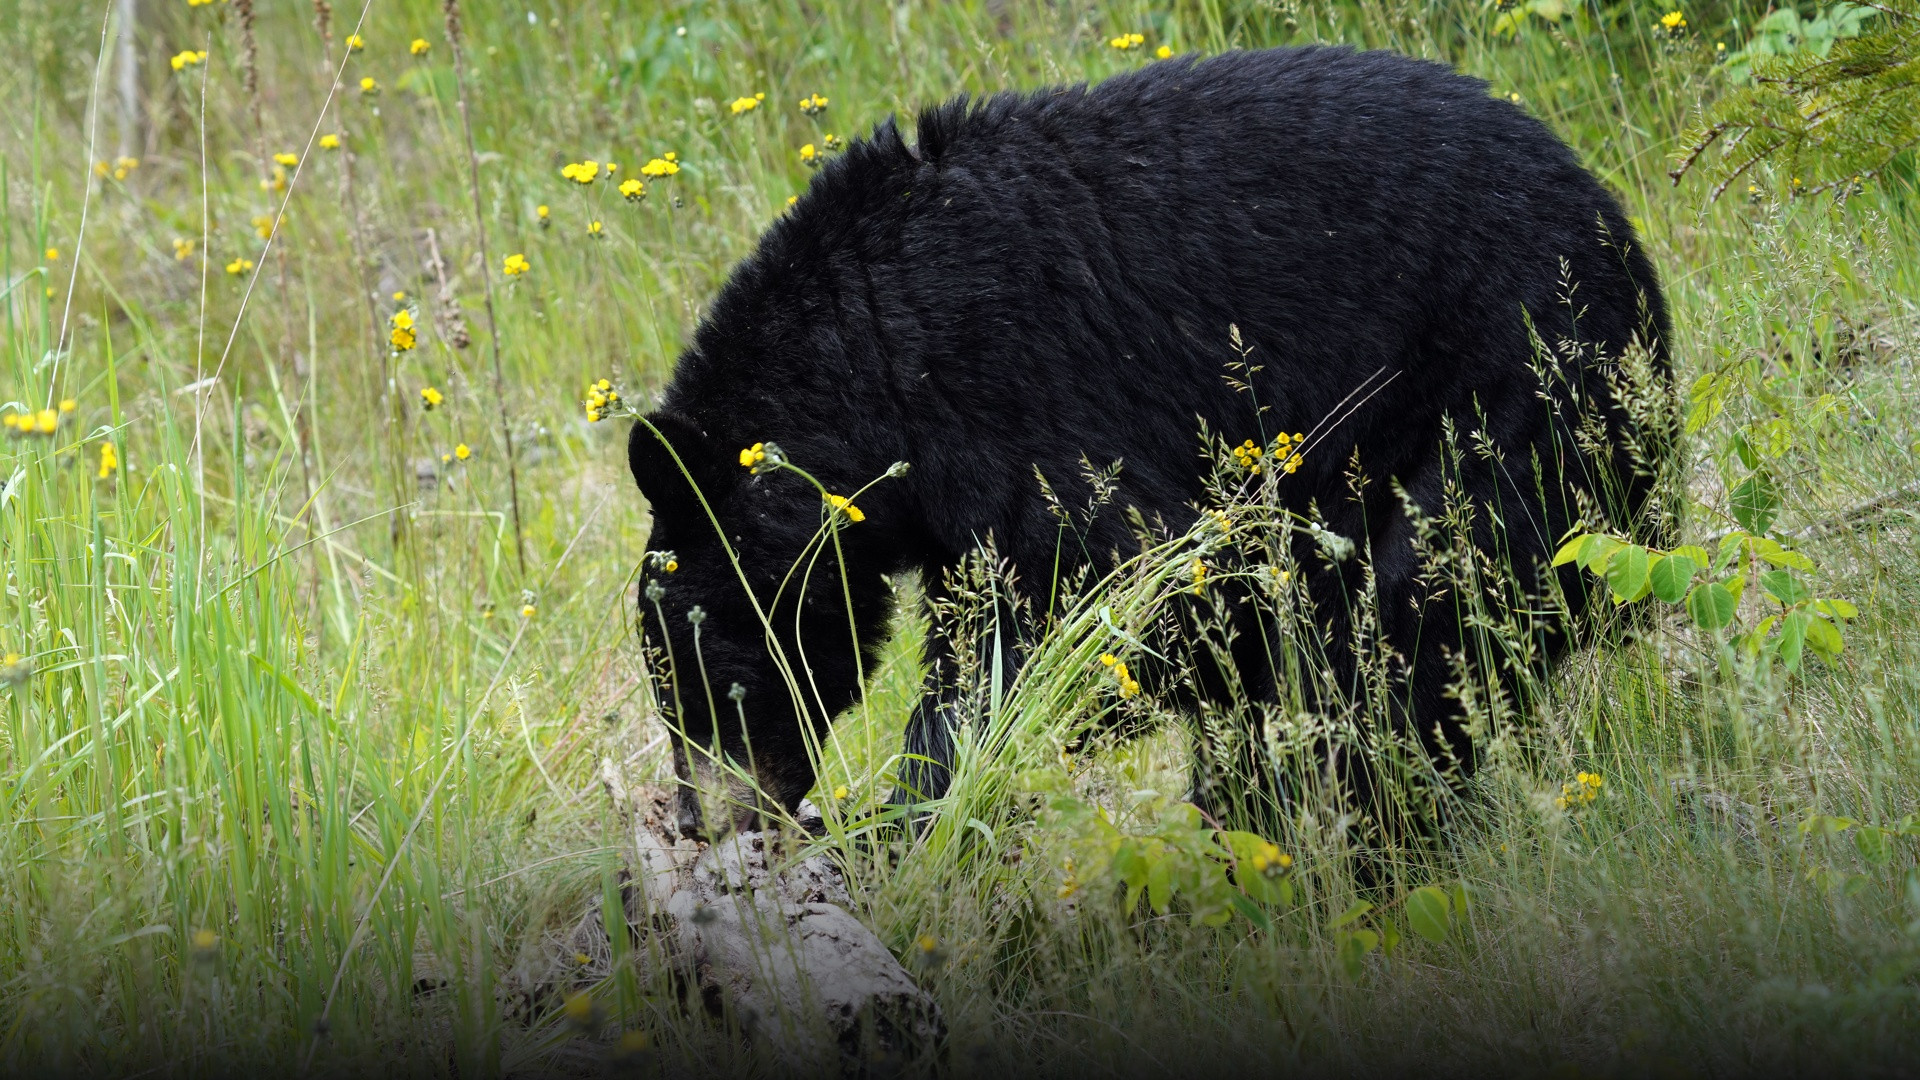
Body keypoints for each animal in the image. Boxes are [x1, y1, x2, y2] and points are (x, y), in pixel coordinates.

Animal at [627, 45, 1670, 840]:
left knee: (1425, 613)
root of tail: (1616, 233)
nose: (705, 822)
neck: (874, 353)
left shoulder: (1019, 396)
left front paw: (914, 808)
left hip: (1504, 387)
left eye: (695, 686)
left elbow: (1108, 599)